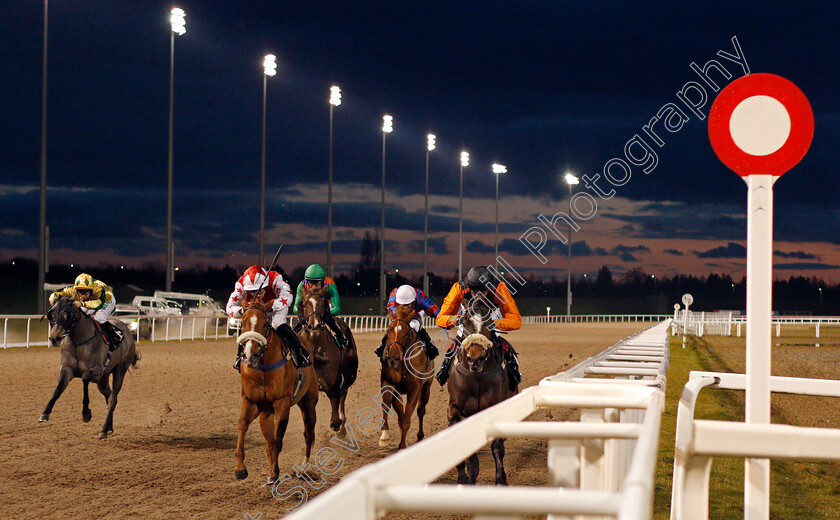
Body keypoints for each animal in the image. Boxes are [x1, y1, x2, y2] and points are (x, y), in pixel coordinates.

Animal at [39, 296, 140, 438]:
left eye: (67, 315)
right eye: (51, 314)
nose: (55, 338)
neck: (78, 342)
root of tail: (128, 333)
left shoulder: (96, 370)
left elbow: (85, 378)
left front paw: (86, 413)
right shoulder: (67, 369)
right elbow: (58, 389)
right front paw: (45, 413)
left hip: (120, 370)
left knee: (113, 399)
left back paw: (103, 430)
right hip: (103, 380)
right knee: (109, 396)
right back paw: (109, 427)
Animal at [236, 300, 318, 484]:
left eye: (265, 323)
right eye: (242, 323)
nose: (250, 356)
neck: (264, 367)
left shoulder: (282, 403)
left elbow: (277, 440)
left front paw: (274, 474)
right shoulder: (250, 401)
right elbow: (242, 425)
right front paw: (240, 468)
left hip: (309, 402)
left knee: (308, 434)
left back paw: (305, 468)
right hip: (266, 413)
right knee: (269, 440)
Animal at [296, 284, 356, 434]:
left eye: (323, 304)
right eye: (304, 304)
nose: (315, 326)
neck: (316, 353)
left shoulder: (333, 383)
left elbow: (335, 418)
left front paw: (338, 424)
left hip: (350, 375)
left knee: (344, 392)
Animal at [380, 306, 434, 448]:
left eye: (406, 333)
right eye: (388, 331)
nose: (392, 359)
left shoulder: (415, 388)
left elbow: (406, 419)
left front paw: (402, 446)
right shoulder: (389, 382)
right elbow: (387, 405)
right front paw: (384, 436)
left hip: (426, 388)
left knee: (421, 411)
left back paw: (420, 436)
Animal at [446, 292, 512, 484]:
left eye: (489, 322)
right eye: (465, 320)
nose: (476, 359)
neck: (477, 377)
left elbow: (497, 445)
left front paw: (500, 479)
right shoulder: (455, 407)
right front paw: (464, 475)